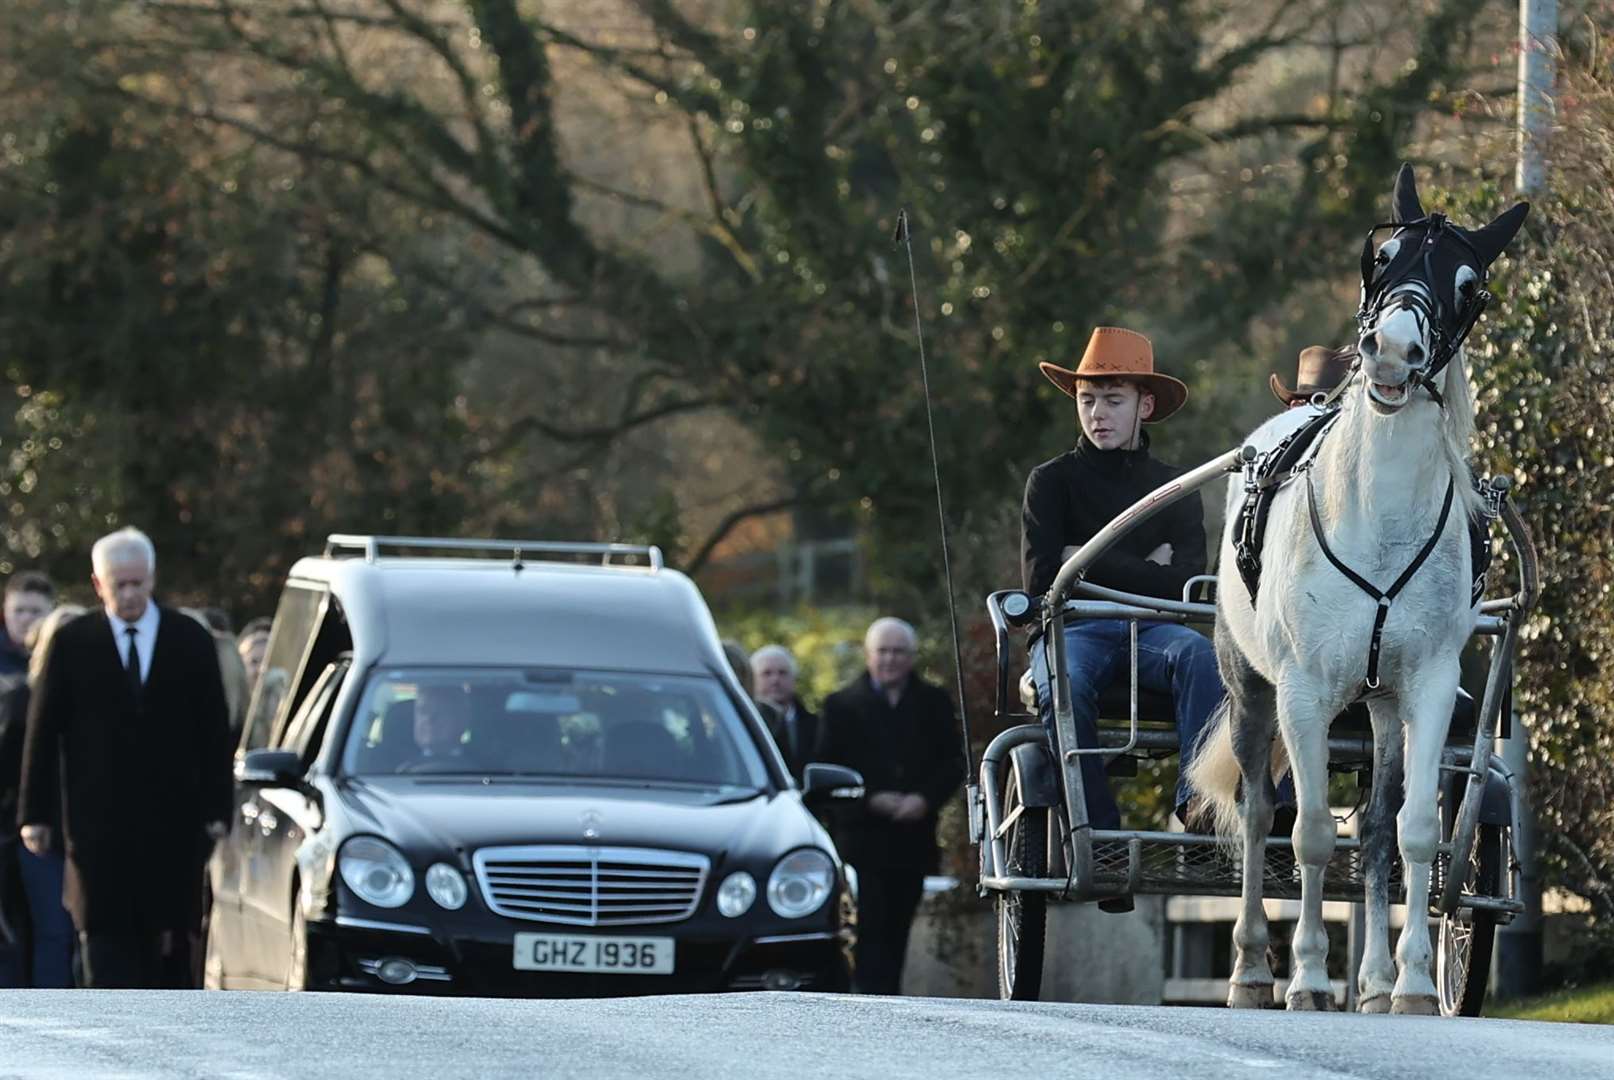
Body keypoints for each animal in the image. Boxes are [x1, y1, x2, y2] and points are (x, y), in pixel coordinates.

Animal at [1187, 159, 1523, 1013]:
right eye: (1384, 258)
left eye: (1468, 286)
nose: (1393, 350)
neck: (1379, 516)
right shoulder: (1304, 691)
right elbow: (1307, 832)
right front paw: (1306, 976)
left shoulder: (1426, 687)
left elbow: (1409, 832)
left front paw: (1409, 984)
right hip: (1251, 689)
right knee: (1259, 812)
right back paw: (1252, 970)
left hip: (1379, 708)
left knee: (1371, 827)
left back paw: (1370, 981)